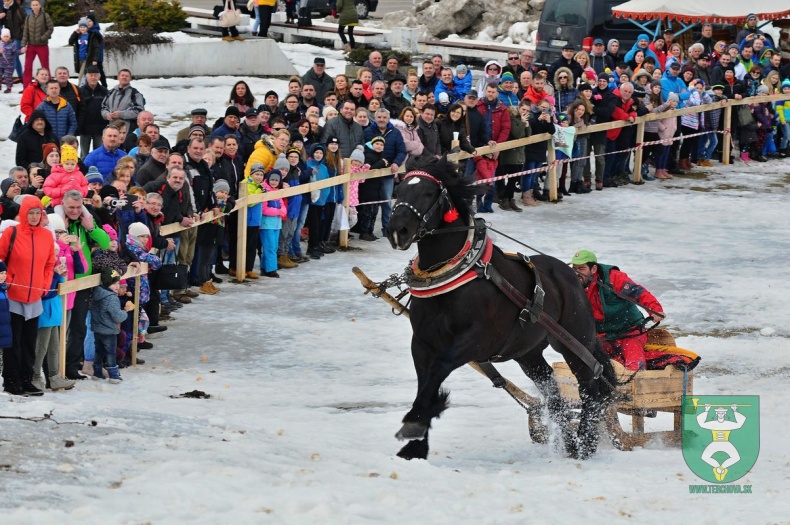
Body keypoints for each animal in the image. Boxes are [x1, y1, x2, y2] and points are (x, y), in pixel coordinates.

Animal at [386, 158, 620, 460]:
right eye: (399, 190)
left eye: (428, 193)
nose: (397, 230)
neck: (457, 277)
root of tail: (572, 276)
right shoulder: (423, 343)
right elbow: (424, 383)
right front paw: (415, 446)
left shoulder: (475, 342)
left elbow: (438, 370)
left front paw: (415, 424)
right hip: (528, 353)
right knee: (554, 395)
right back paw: (568, 443)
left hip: (574, 342)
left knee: (591, 389)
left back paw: (584, 445)